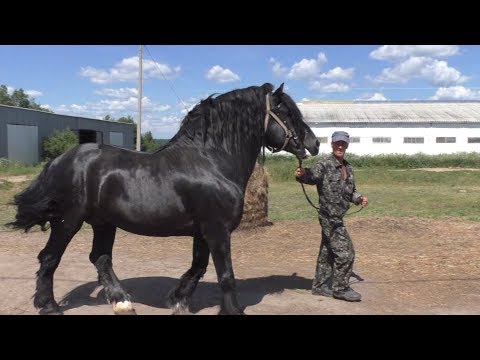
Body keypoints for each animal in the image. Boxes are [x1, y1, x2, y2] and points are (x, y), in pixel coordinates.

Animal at [6, 82, 318, 316]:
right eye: (284, 111)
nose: (313, 144)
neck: (212, 161)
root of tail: (60, 160)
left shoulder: (203, 232)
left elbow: (199, 267)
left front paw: (178, 299)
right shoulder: (216, 229)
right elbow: (225, 273)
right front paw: (232, 309)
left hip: (104, 223)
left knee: (101, 258)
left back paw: (122, 302)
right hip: (68, 221)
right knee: (50, 258)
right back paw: (48, 305)